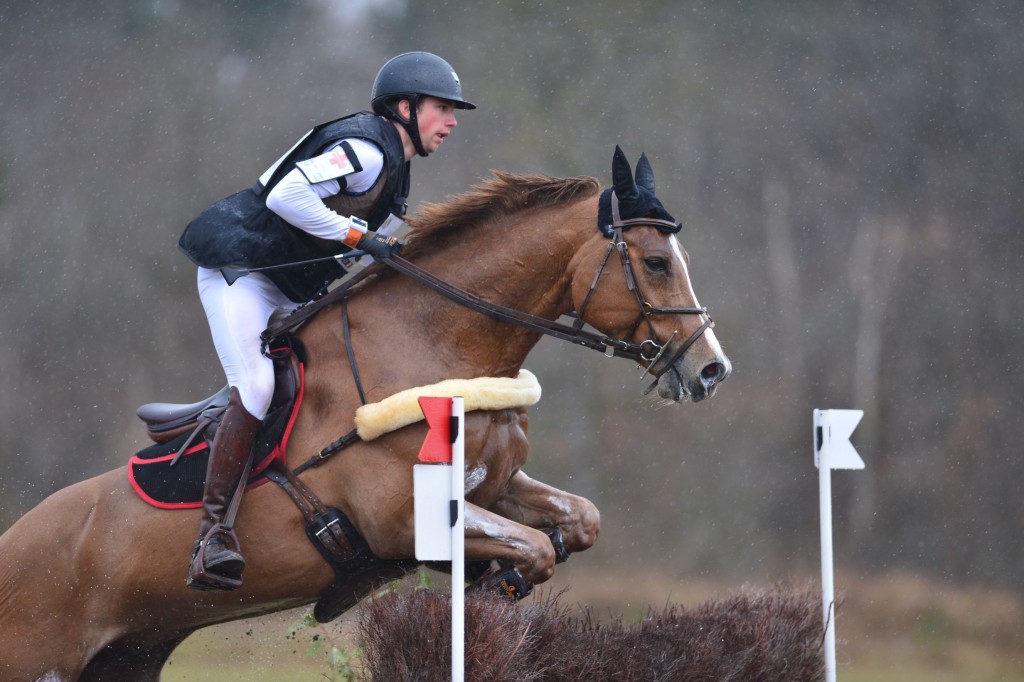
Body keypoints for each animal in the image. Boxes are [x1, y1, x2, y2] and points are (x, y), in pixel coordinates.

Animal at [0, 146, 729, 675]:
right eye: (656, 261)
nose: (710, 369)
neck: (438, 342)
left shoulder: (493, 486)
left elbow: (577, 522)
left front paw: (494, 581)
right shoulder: (403, 519)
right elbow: (533, 549)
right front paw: (494, 584)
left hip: (127, 657)